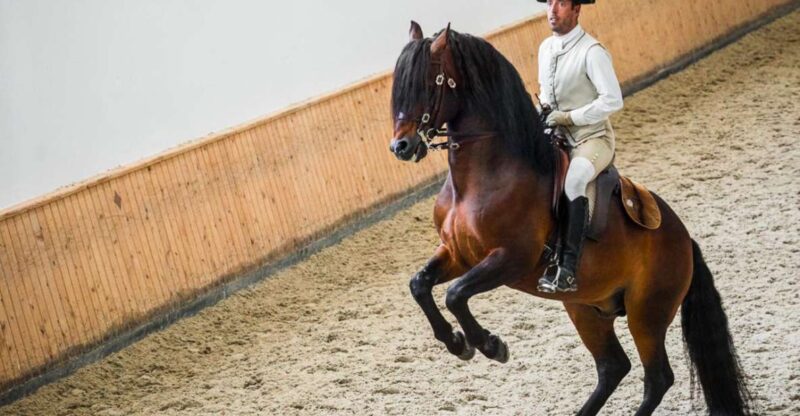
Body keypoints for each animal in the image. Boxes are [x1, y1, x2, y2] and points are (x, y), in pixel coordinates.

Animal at [388, 22, 752, 416]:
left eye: (430, 82)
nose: (401, 147)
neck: (481, 178)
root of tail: (684, 238)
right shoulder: (458, 254)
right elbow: (419, 285)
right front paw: (457, 343)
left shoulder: (511, 259)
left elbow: (455, 295)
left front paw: (490, 345)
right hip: (585, 308)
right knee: (612, 367)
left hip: (646, 314)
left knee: (657, 378)